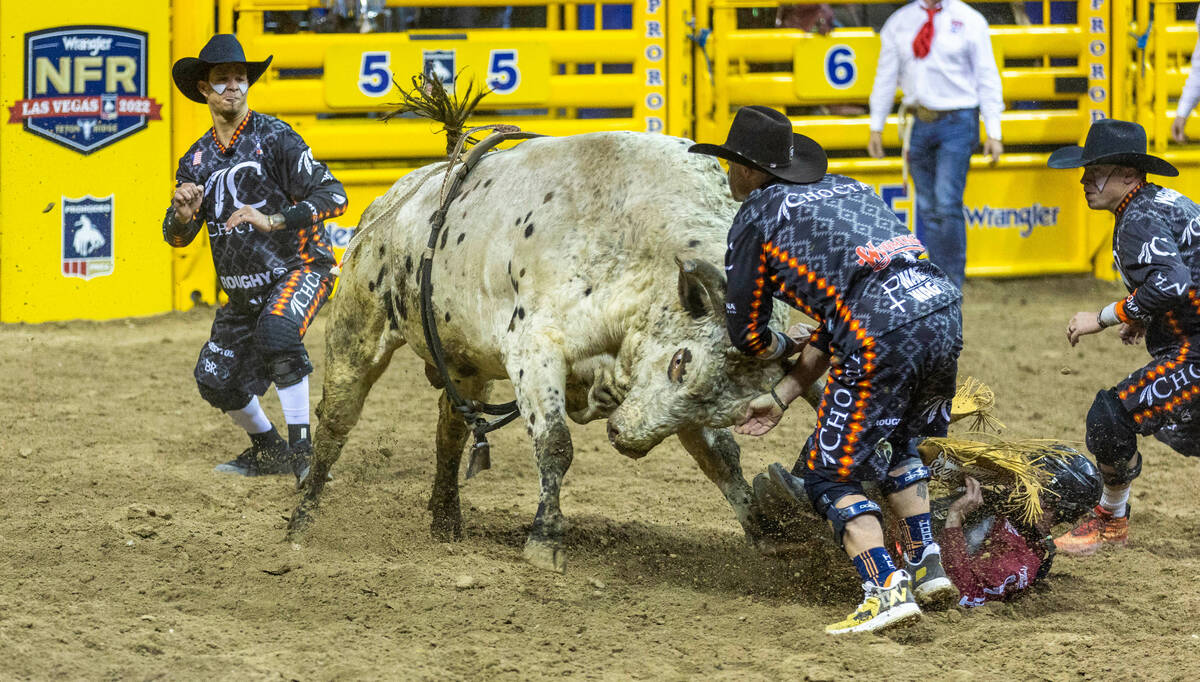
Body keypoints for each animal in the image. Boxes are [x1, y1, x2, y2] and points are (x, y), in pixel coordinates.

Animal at [289, 129, 796, 569]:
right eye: (680, 362)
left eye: (730, 409)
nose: (625, 439)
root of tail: (389, 201)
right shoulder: (534, 349)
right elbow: (555, 445)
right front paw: (545, 539)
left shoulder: (650, 391)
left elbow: (720, 456)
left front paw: (765, 532)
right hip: (357, 330)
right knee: (336, 421)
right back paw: (303, 519)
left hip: (463, 364)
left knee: (450, 430)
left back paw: (446, 518)